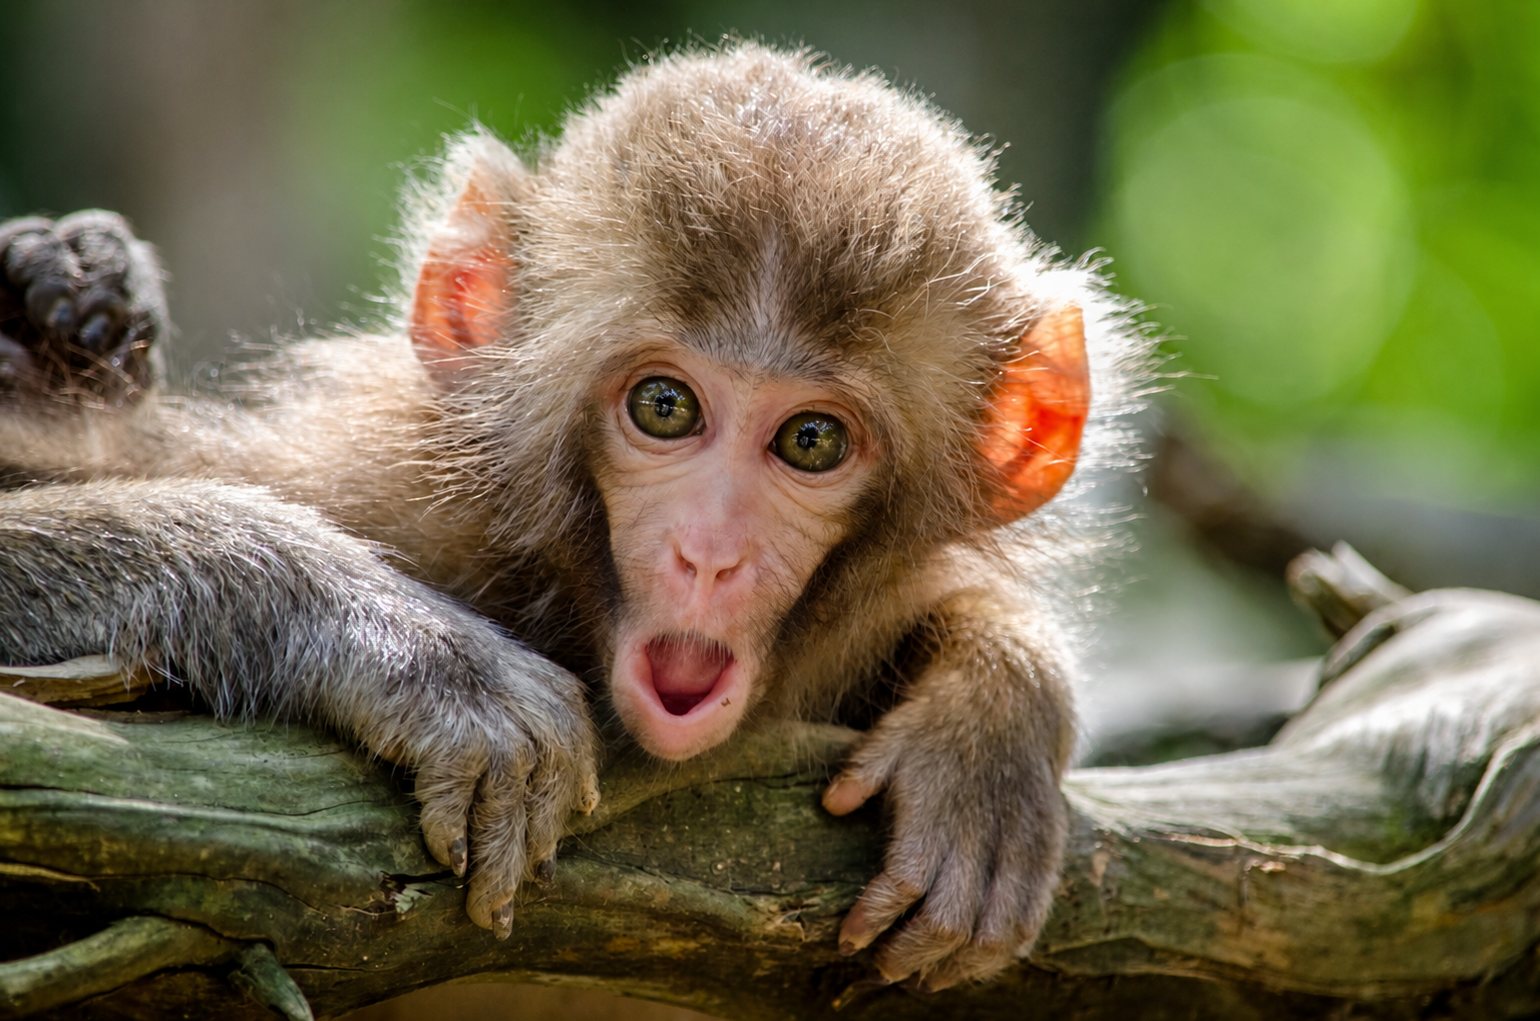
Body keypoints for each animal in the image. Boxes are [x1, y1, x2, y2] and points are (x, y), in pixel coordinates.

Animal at [0, 45, 1148, 990]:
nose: (709, 553)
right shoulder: (372, 480)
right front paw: (408, 648)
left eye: (812, 441)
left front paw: (990, 723)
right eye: (665, 407)